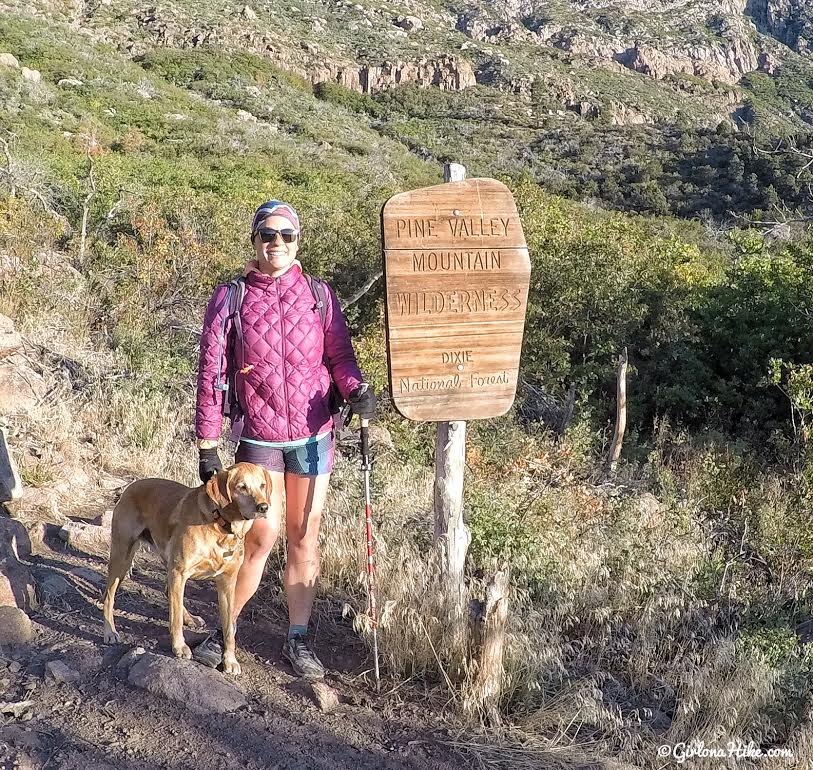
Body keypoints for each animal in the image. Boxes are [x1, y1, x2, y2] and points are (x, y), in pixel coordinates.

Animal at [101, 462, 272, 672]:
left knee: (169, 592)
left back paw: (190, 618)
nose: (263, 507)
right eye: (242, 487)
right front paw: (179, 646)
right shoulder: (179, 572)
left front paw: (230, 660)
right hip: (123, 558)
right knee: (110, 596)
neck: (221, 526)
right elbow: (174, 619)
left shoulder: (227, 583)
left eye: (262, 485)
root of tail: (130, 487)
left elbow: (229, 628)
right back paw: (110, 631)